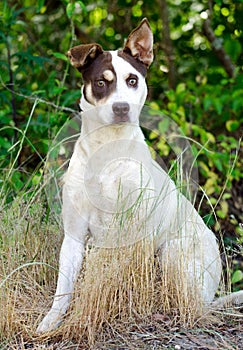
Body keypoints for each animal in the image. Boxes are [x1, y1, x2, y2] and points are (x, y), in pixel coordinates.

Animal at [37, 19, 242, 334]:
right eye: (101, 82)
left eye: (132, 80)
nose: (121, 108)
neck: (107, 149)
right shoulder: (74, 233)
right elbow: (64, 287)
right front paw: (52, 321)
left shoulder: (132, 231)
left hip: (173, 251)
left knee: (190, 303)